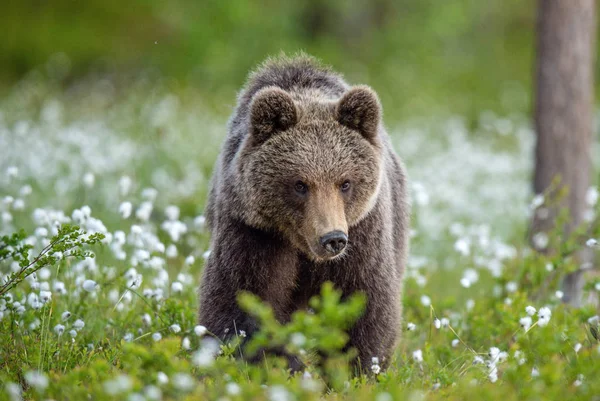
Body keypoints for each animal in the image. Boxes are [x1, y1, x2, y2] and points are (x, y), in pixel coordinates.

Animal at [199, 54, 410, 372]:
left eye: (345, 182)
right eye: (300, 184)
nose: (332, 239)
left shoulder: (363, 231)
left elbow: (366, 304)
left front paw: (356, 368)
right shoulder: (253, 231)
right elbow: (241, 301)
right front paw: (285, 363)